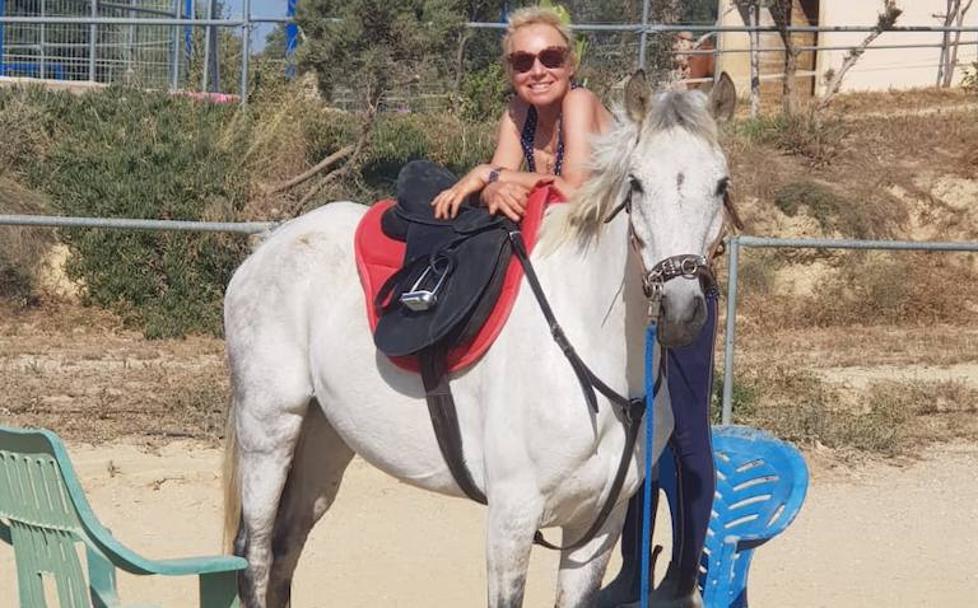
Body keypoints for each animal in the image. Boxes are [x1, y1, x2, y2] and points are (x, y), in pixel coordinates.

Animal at [222, 71, 737, 608]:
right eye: (636, 183)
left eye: (721, 185)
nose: (682, 309)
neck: (591, 351)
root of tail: (269, 246)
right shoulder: (511, 517)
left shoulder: (597, 528)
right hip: (270, 431)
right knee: (254, 552)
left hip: (325, 438)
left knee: (286, 548)